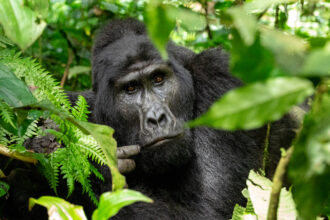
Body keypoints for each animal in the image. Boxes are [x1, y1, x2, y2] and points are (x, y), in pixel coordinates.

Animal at [0, 18, 300, 220]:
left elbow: (211, 209)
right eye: (131, 89)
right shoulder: (80, 104)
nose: (157, 118)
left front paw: (90, 170)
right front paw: (41, 153)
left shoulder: (221, 83)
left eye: (158, 79)